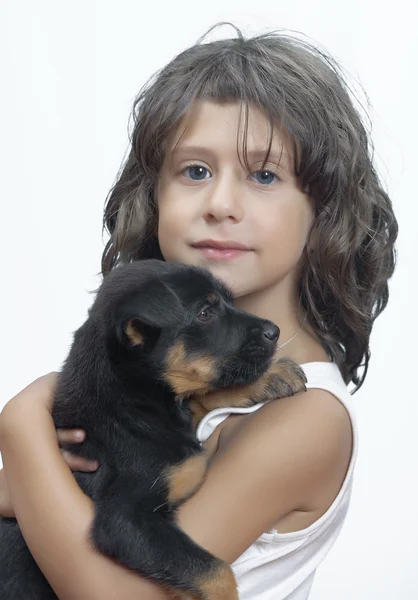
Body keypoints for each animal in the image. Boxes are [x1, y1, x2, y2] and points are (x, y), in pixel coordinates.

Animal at [0, 258, 306, 600]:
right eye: (205, 313)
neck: (131, 399)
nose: (275, 331)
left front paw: (272, 377)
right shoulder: (126, 520)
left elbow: (200, 396)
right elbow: (215, 572)